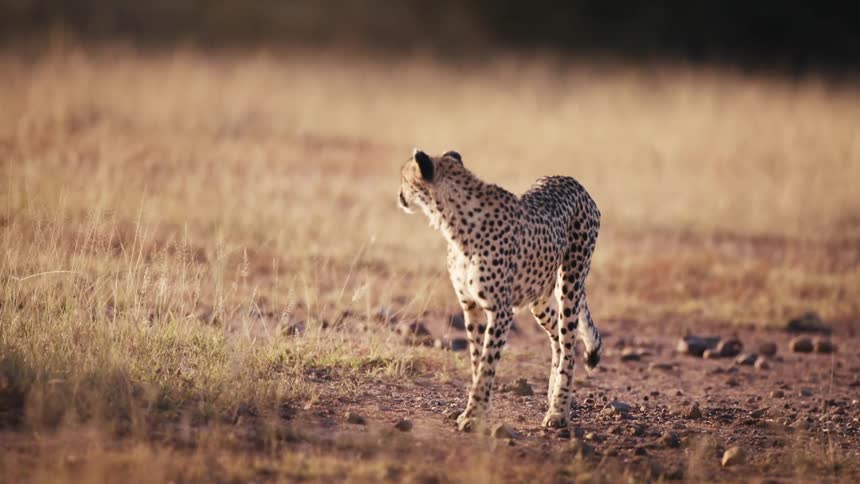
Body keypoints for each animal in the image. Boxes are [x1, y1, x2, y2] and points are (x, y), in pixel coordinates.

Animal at [398, 149, 603, 431]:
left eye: (404, 178)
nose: (400, 196)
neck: (454, 220)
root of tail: (570, 180)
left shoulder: (501, 311)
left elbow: (487, 363)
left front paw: (473, 414)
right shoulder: (470, 306)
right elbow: (477, 360)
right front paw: (477, 411)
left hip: (570, 284)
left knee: (569, 344)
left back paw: (558, 411)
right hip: (538, 297)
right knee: (557, 338)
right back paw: (551, 394)